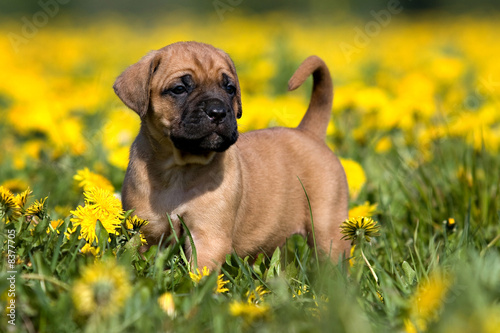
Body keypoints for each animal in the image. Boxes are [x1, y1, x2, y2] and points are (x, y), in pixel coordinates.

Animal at [114, 42, 350, 270]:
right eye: (179, 89)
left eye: (229, 89)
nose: (218, 111)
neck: (180, 168)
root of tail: (309, 132)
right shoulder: (146, 232)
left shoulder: (208, 237)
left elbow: (199, 273)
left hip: (327, 228)